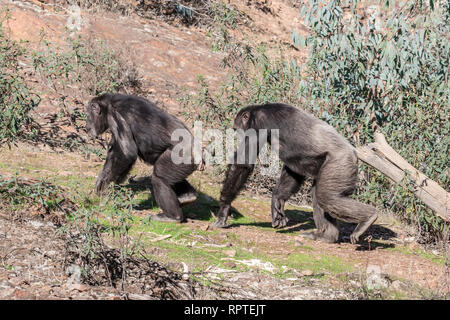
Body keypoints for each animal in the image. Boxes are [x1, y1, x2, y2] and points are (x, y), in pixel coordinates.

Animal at [213, 104, 378, 244]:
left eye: (237, 129)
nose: (238, 136)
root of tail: (355, 154)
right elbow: (293, 171)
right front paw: (277, 202)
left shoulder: (257, 125)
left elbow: (243, 164)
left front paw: (224, 209)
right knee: (318, 194)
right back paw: (326, 236)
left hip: (340, 164)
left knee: (327, 197)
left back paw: (368, 218)